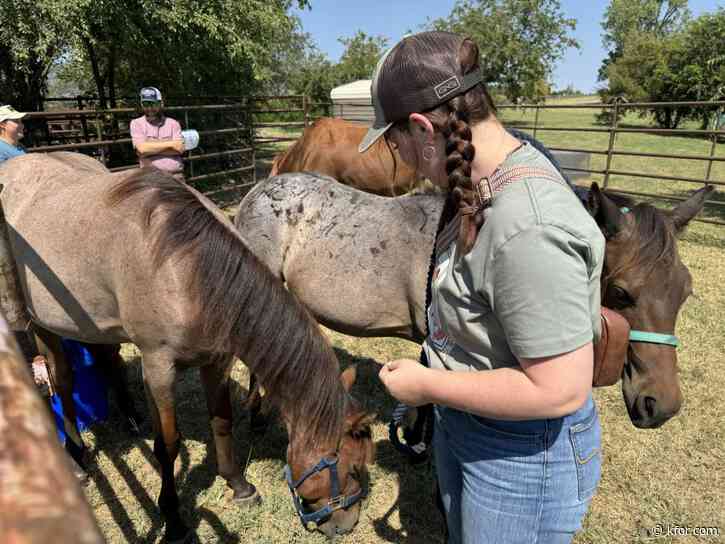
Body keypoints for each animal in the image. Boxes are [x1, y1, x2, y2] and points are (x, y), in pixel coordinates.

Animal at [0, 154, 374, 544]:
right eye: (352, 467)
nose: (347, 525)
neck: (187, 270)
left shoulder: (216, 361)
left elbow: (222, 421)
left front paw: (239, 485)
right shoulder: (159, 367)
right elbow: (168, 444)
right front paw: (174, 519)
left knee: (104, 361)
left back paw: (129, 419)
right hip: (41, 323)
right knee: (62, 383)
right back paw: (75, 461)